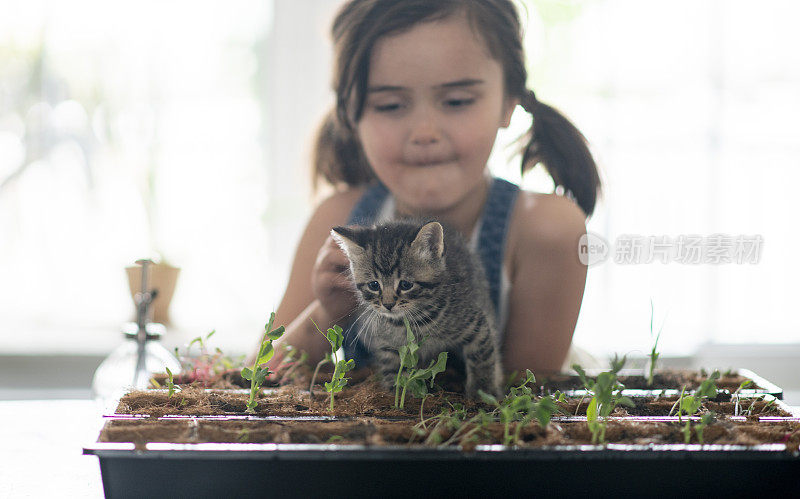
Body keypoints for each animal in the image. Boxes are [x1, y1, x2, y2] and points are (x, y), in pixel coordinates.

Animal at [330, 221, 500, 400]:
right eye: (374, 285)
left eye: (406, 285)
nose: (388, 304)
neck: (409, 321)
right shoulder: (387, 344)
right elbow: (394, 371)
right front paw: (399, 396)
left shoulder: (476, 323)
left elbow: (482, 357)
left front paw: (483, 392)